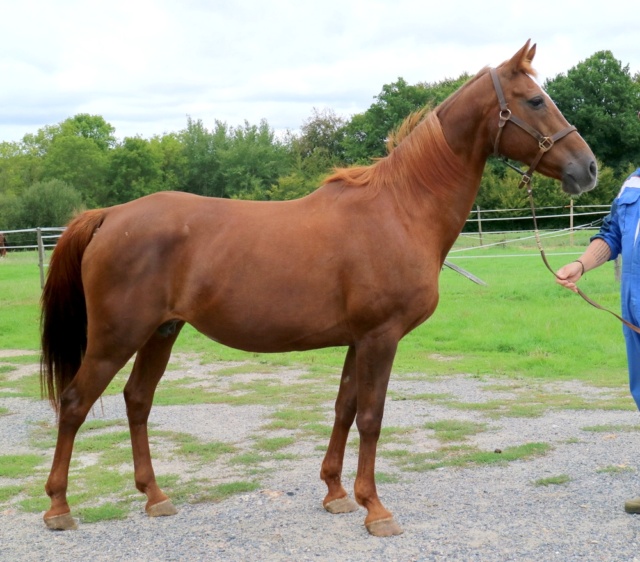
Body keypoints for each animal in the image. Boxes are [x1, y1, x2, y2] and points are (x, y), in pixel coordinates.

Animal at [41, 40, 596, 532]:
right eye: (535, 100)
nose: (588, 168)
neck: (402, 208)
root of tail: (110, 215)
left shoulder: (358, 339)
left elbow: (345, 408)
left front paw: (336, 493)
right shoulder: (380, 337)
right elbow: (371, 416)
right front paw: (376, 509)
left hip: (161, 332)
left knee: (138, 400)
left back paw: (155, 497)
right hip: (115, 338)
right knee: (75, 403)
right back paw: (59, 507)